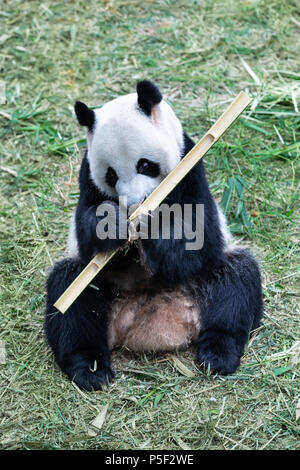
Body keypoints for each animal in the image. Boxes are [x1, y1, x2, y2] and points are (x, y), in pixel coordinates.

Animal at [44, 80, 262, 390]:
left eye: (145, 165)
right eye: (111, 175)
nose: (136, 202)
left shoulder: (190, 166)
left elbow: (198, 233)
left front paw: (153, 226)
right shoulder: (87, 177)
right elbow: (87, 234)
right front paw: (114, 224)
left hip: (207, 278)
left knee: (236, 284)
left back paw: (218, 355)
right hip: (100, 292)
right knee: (72, 299)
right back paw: (90, 369)